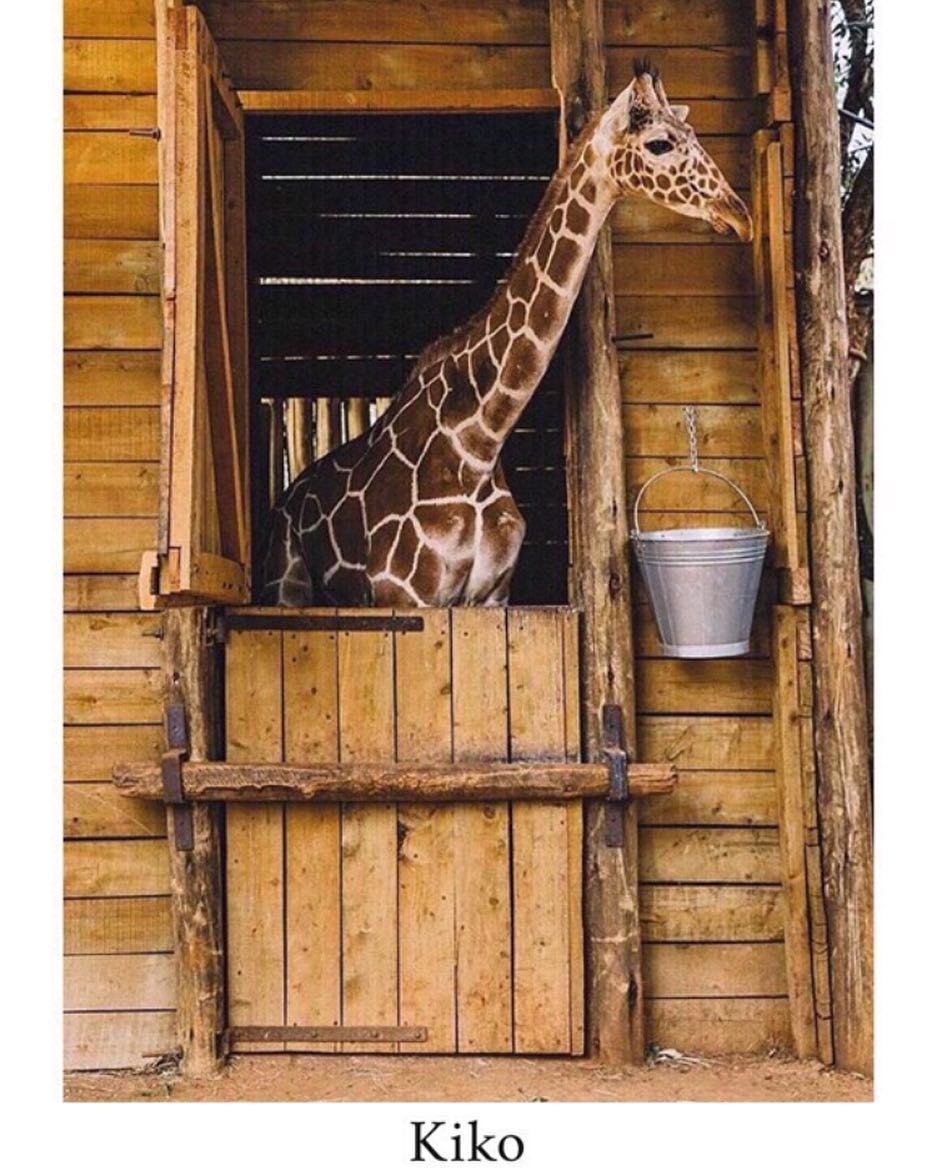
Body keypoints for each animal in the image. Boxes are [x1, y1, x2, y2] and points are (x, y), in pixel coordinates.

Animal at [261, 62, 752, 608]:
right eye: (660, 143)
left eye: (693, 134)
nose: (739, 216)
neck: (478, 441)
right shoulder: (406, 595)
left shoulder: (494, 595)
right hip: (285, 587)